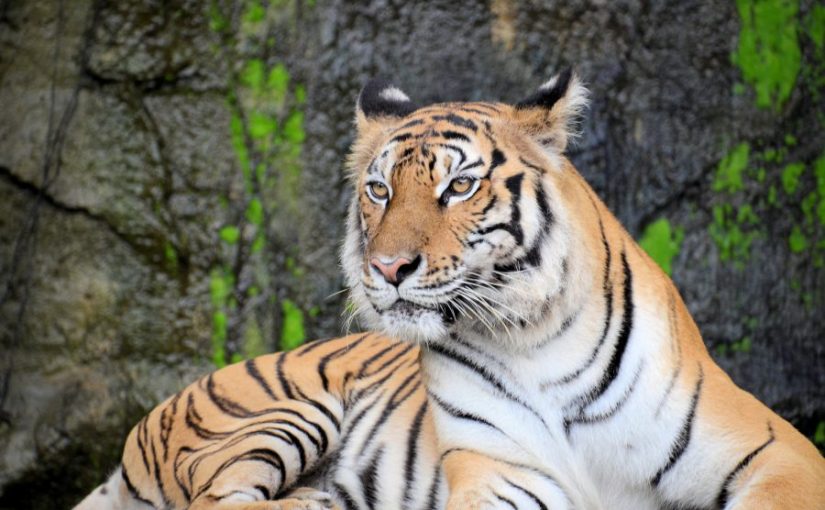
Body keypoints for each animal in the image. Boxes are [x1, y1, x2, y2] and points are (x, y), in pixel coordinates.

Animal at [74, 70, 825, 510]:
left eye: (458, 185)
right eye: (379, 191)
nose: (387, 268)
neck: (534, 339)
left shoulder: (778, 454)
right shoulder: (502, 474)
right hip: (275, 415)